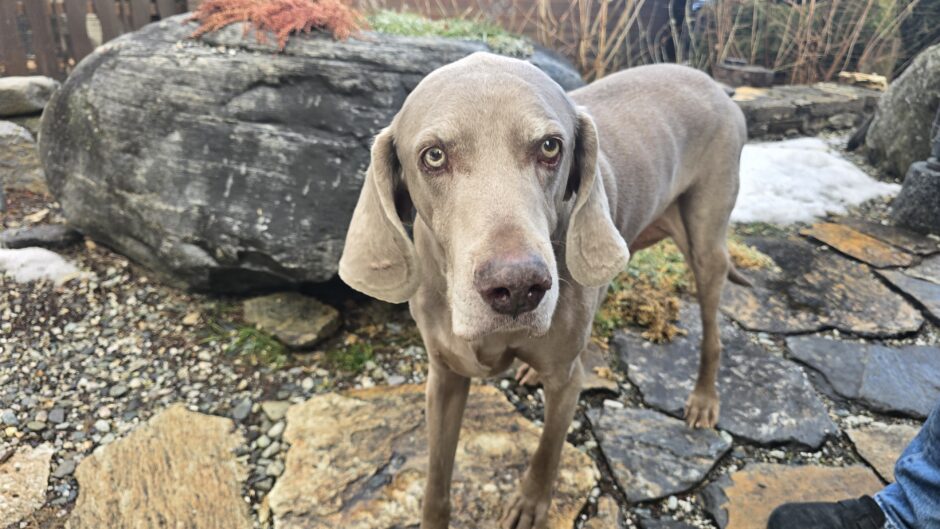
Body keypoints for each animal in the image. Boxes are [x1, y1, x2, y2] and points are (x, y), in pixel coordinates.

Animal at [339, 52, 747, 529]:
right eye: (434, 156)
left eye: (551, 147)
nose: (518, 287)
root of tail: (715, 85)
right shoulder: (444, 377)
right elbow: (437, 480)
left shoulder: (566, 384)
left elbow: (550, 448)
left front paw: (529, 504)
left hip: (705, 243)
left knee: (712, 329)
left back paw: (703, 399)